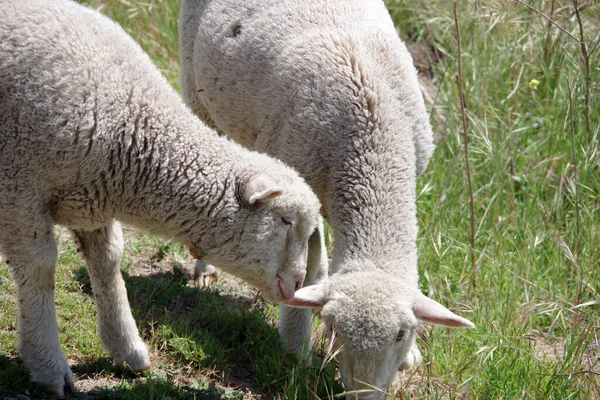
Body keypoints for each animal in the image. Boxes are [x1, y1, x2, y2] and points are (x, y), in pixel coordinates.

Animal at [0, 0, 324, 396]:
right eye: (285, 220)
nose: (296, 284)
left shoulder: (91, 201)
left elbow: (108, 262)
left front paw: (127, 349)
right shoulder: (20, 187)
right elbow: (40, 269)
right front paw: (48, 365)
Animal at [180, 0, 476, 396]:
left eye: (401, 334)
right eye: (333, 329)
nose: (364, 397)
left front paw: (412, 357)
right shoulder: (303, 193)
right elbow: (311, 269)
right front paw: (296, 346)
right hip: (196, 90)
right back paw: (205, 269)